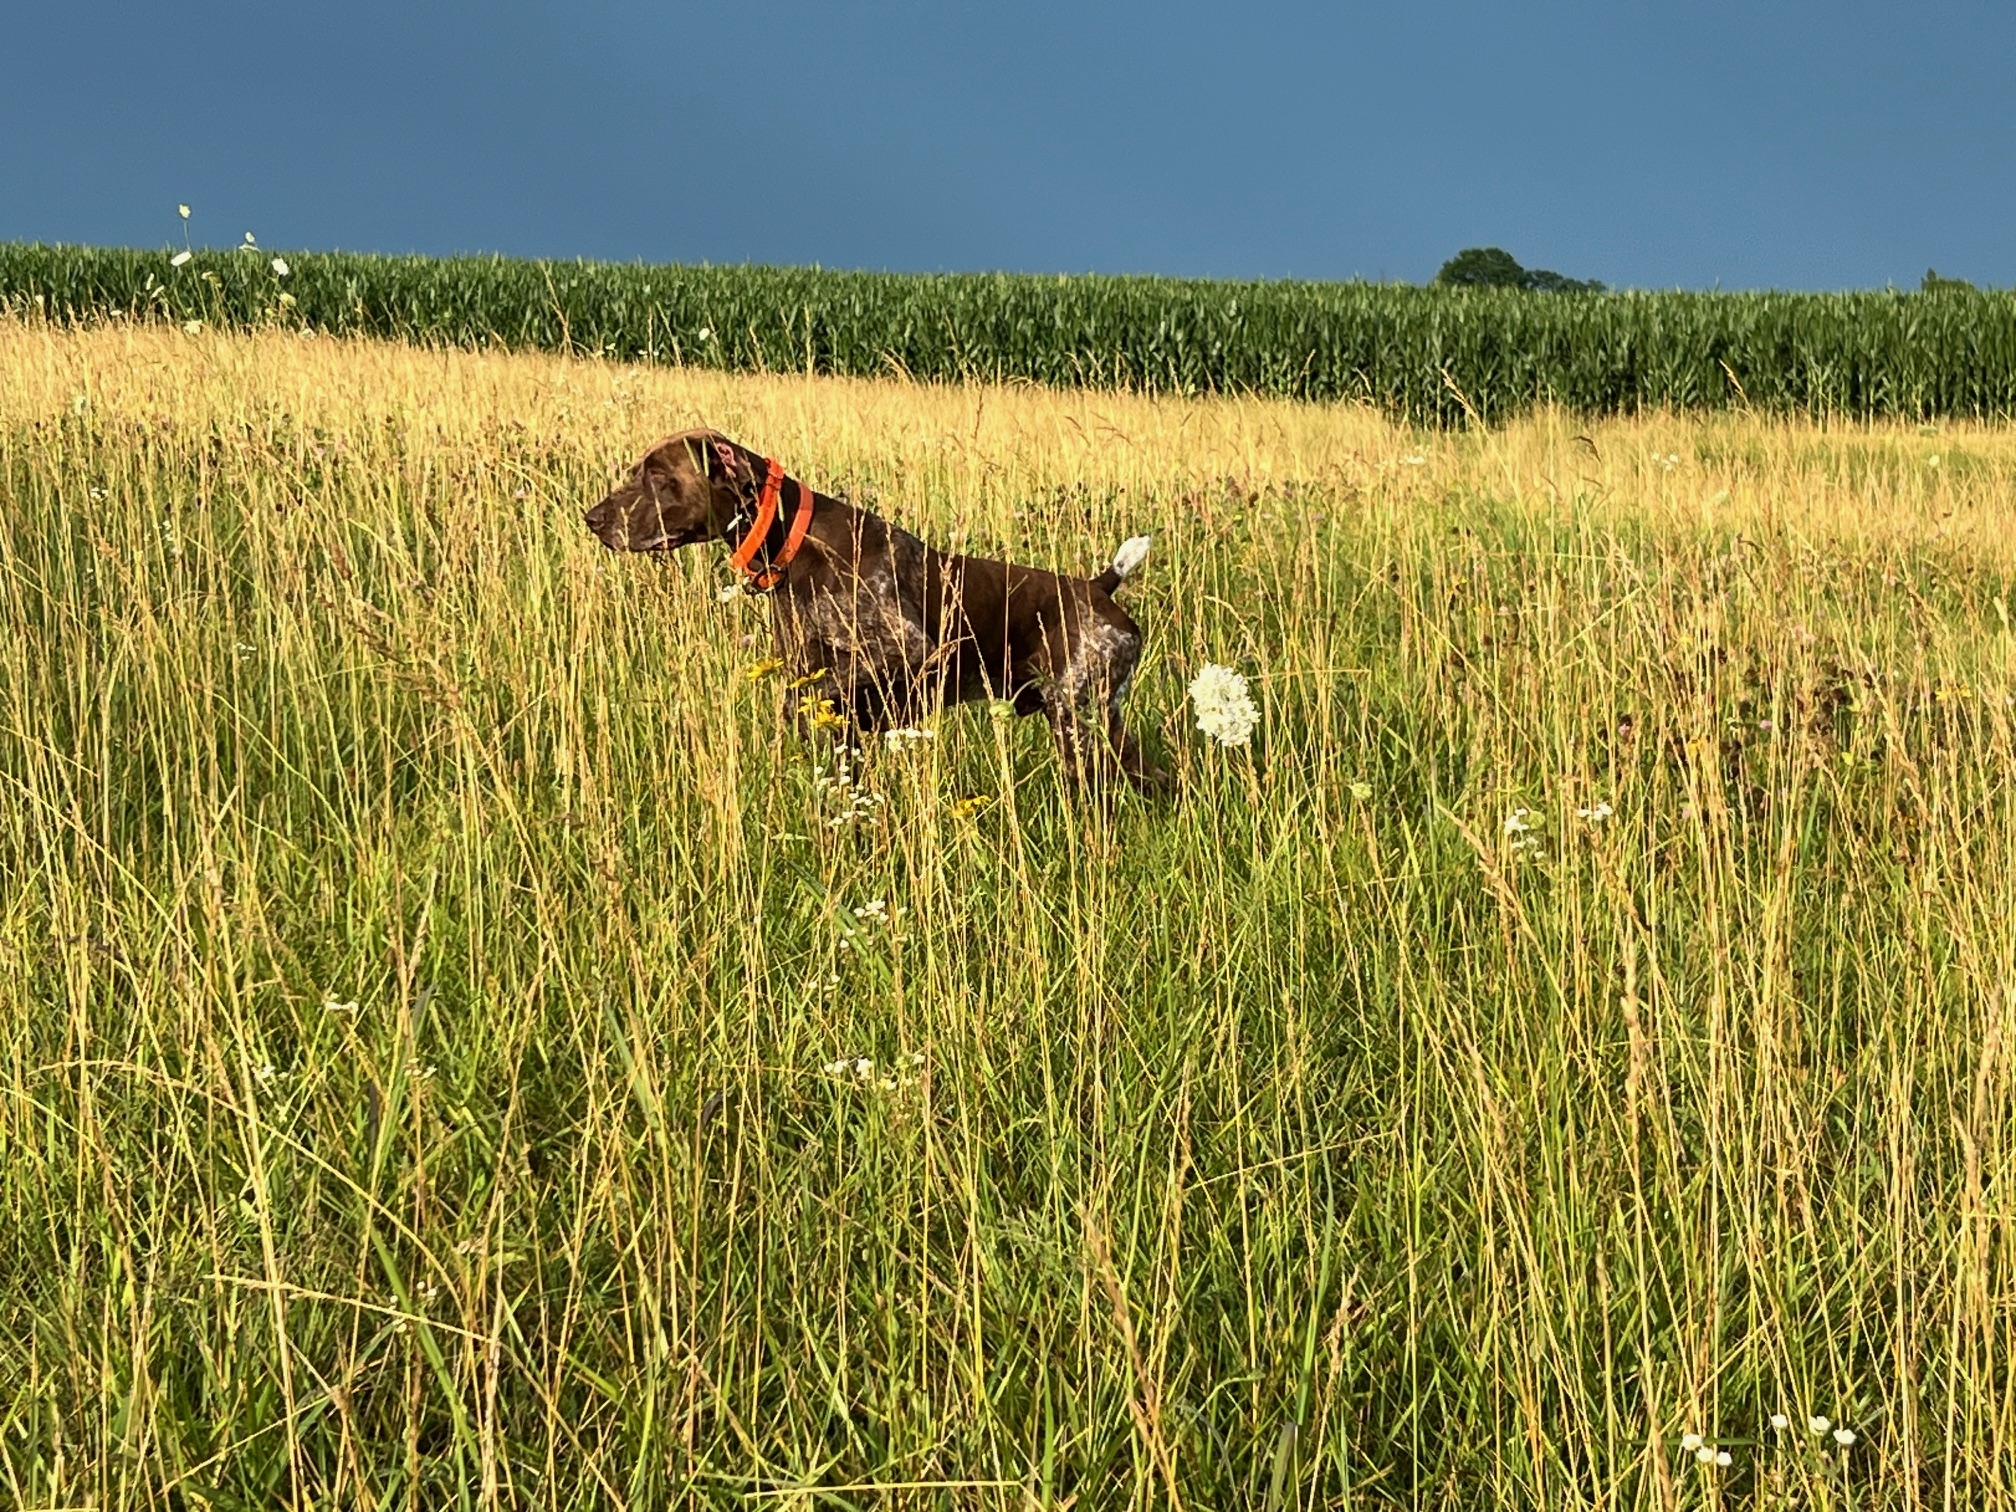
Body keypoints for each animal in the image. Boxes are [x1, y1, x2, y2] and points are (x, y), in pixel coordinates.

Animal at [583, 428, 1165, 790]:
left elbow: (813, 693)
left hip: (1079, 722)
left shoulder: (907, 648)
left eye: (659, 477)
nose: (592, 518)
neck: (797, 543)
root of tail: (1099, 586)